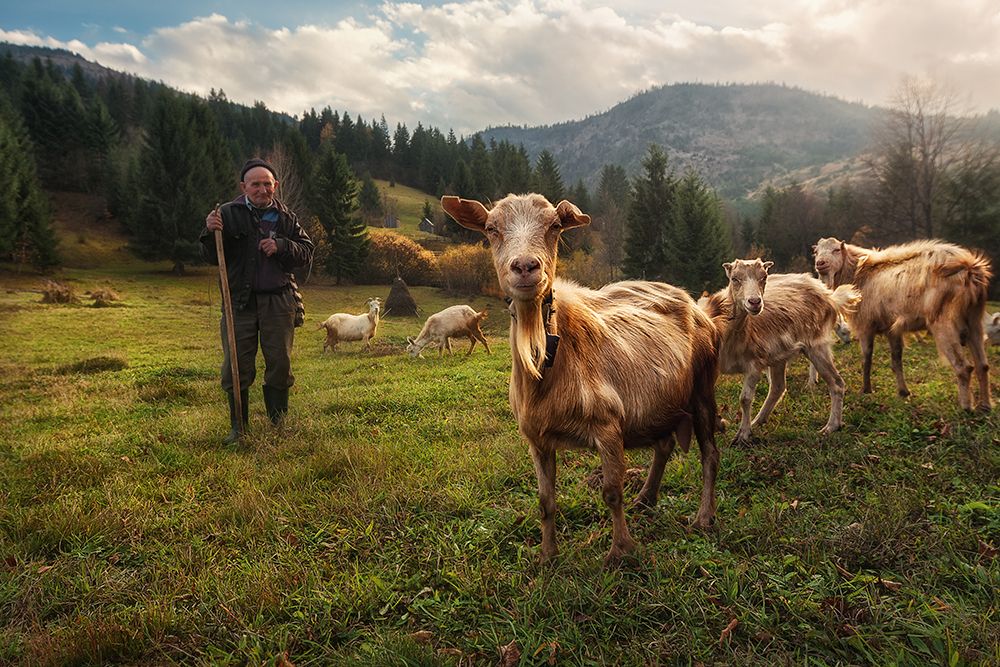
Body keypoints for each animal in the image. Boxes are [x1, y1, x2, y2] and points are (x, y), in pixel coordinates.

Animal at [444, 192, 720, 564]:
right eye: (491, 228)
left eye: (555, 226)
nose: (525, 267)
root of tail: (690, 300)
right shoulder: (536, 438)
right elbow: (545, 501)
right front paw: (547, 556)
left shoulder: (608, 425)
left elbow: (612, 491)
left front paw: (620, 551)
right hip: (662, 402)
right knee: (663, 445)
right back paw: (646, 498)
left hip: (703, 386)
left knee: (710, 455)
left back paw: (703, 517)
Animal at [704, 260, 860, 444]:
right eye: (734, 278)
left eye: (764, 277)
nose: (755, 302)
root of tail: (828, 294)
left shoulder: (754, 364)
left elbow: (745, 399)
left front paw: (742, 435)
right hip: (778, 355)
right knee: (778, 387)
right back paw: (758, 421)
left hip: (817, 345)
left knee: (836, 383)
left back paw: (831, 427)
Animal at [812, 237, 992, 410]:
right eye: (817, 251)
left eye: (836, 250)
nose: (820, 263)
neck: (859, 273)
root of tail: (969, 267)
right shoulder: (892, 329)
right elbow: (896, 360)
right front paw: (903, 392)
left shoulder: (865, 326)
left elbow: (867, 358)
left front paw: (865, 390)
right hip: (974, 319)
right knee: (982, 365)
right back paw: (985, 406)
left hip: (944, 322)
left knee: (964, 366)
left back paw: (966, 407)